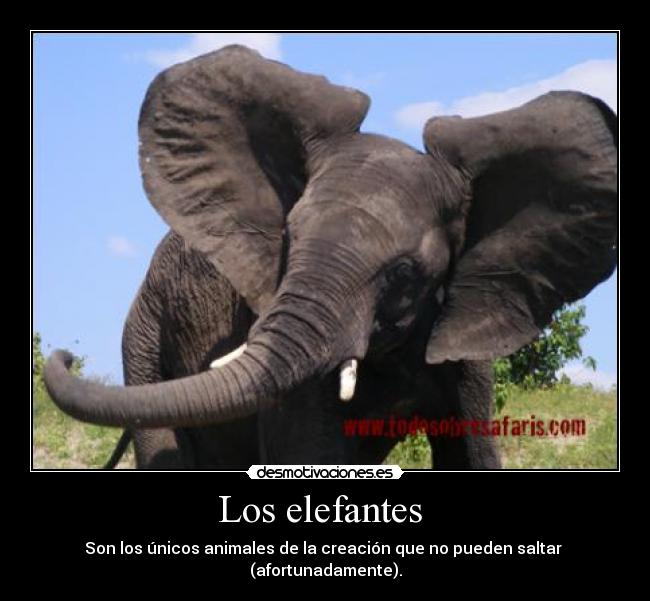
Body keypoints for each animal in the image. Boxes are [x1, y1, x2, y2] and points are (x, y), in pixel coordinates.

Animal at [43, 45, 617, 469]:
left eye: (405, 273)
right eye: (289, 239)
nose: (65, 353)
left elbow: (470, 453)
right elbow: (308, 451)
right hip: (144, 339)